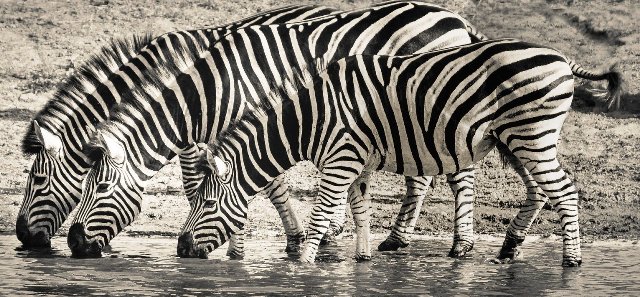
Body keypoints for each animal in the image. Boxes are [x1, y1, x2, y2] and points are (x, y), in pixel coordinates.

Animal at [65, 0, 496, 256]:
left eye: (99, 188)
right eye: (79, 187)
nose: (73, 243)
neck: (209, 90)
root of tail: (459, 21)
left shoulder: (245, 123)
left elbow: (253, 183)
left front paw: (243, 248)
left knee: (457, 175)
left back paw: (460, 245)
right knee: (423, 173)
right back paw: (394, 239)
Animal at [178, 38, 624, 264]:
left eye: (206, 204)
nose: (180, 251)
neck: (310, 118)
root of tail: (561, 56)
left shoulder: (341, 160)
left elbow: (322, 216)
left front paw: (302, 265)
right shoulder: (355, 162)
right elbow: (359, 211)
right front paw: (360, 259)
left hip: (532, 134)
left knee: (564, 191)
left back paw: (571, 262)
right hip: (515, 140)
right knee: (540, 190)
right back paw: (509, 247)